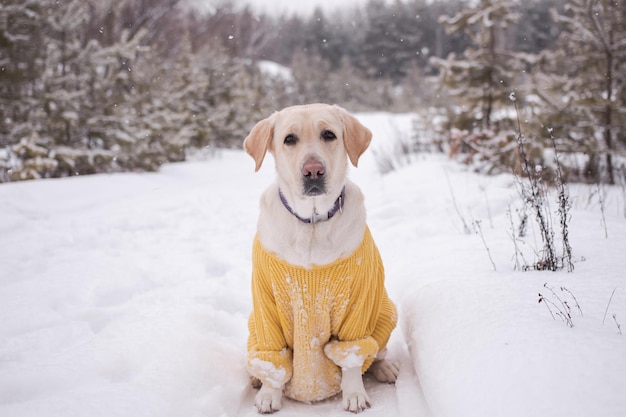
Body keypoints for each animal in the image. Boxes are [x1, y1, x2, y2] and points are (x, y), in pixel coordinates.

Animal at [243, 102, 394, 412]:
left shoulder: (359, 302)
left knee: (378, 353)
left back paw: (385, 368)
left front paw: (354, 394)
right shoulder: (266, 306)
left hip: (385, 312)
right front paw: (268, 393)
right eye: (289, 139)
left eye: (329, 135)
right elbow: (273, 361)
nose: (313, 171)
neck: (311, 223)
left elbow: (352, 356)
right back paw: (254, 379)